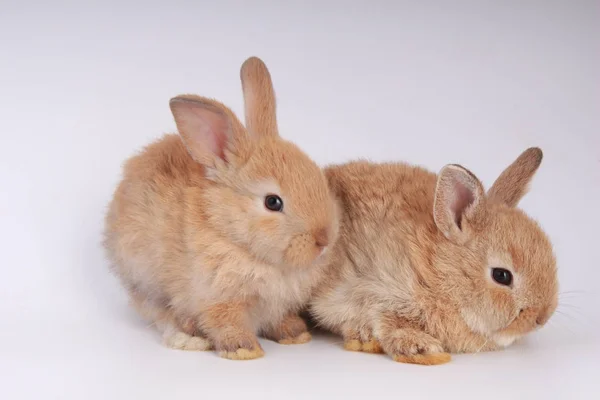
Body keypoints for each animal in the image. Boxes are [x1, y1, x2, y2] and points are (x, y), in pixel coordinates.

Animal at [103, 57, 338, 362]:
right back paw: (188, 338)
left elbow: (277, 319)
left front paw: (295, 334)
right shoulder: (218, 298)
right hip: (145, 281)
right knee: (160, 314)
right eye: (273, 202)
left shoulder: (276, 305)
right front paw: (244, 350)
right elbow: (226, 322)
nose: (324, 239)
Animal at [310, 149, 556, 366]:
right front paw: (423, 349)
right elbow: (388, 322)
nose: (541, 318)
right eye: (501, 275)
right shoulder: (381, 290)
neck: (439, 270)